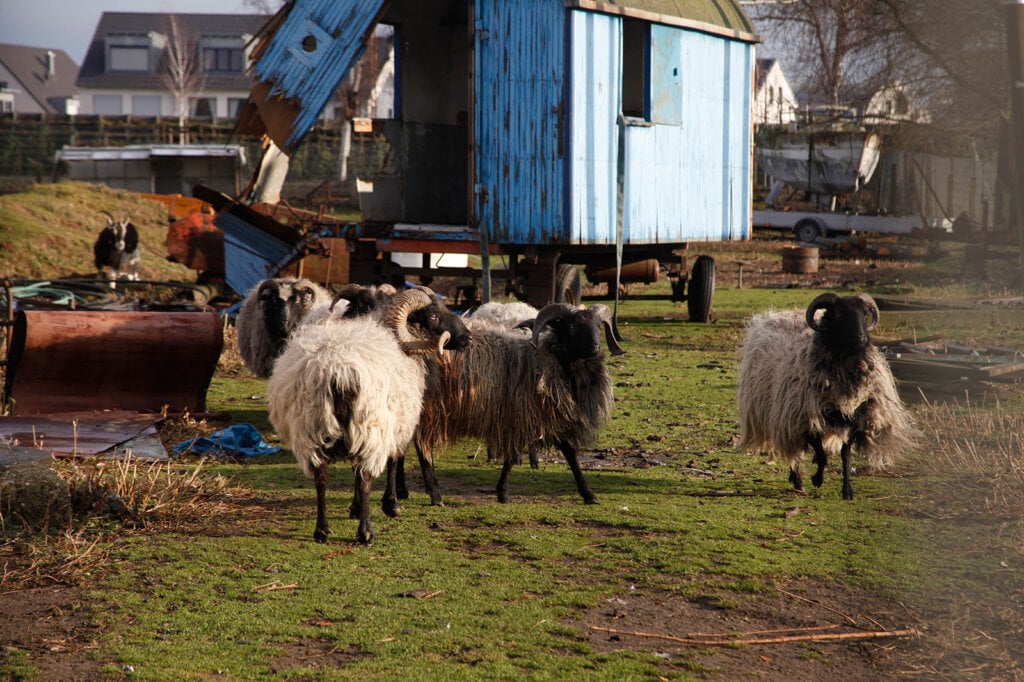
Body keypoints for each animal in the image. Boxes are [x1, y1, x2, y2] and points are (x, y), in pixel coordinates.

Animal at [737, 288, 921, 497]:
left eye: (865, 314)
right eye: (839, 314)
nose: (861, 338)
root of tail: (776, 314)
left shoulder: (855, 418)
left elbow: (845, 455)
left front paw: (847, 490)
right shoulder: (806, 418)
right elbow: (821, 452)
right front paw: (817, 479)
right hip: (784, 417)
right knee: (795, 452)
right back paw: (798, 480)